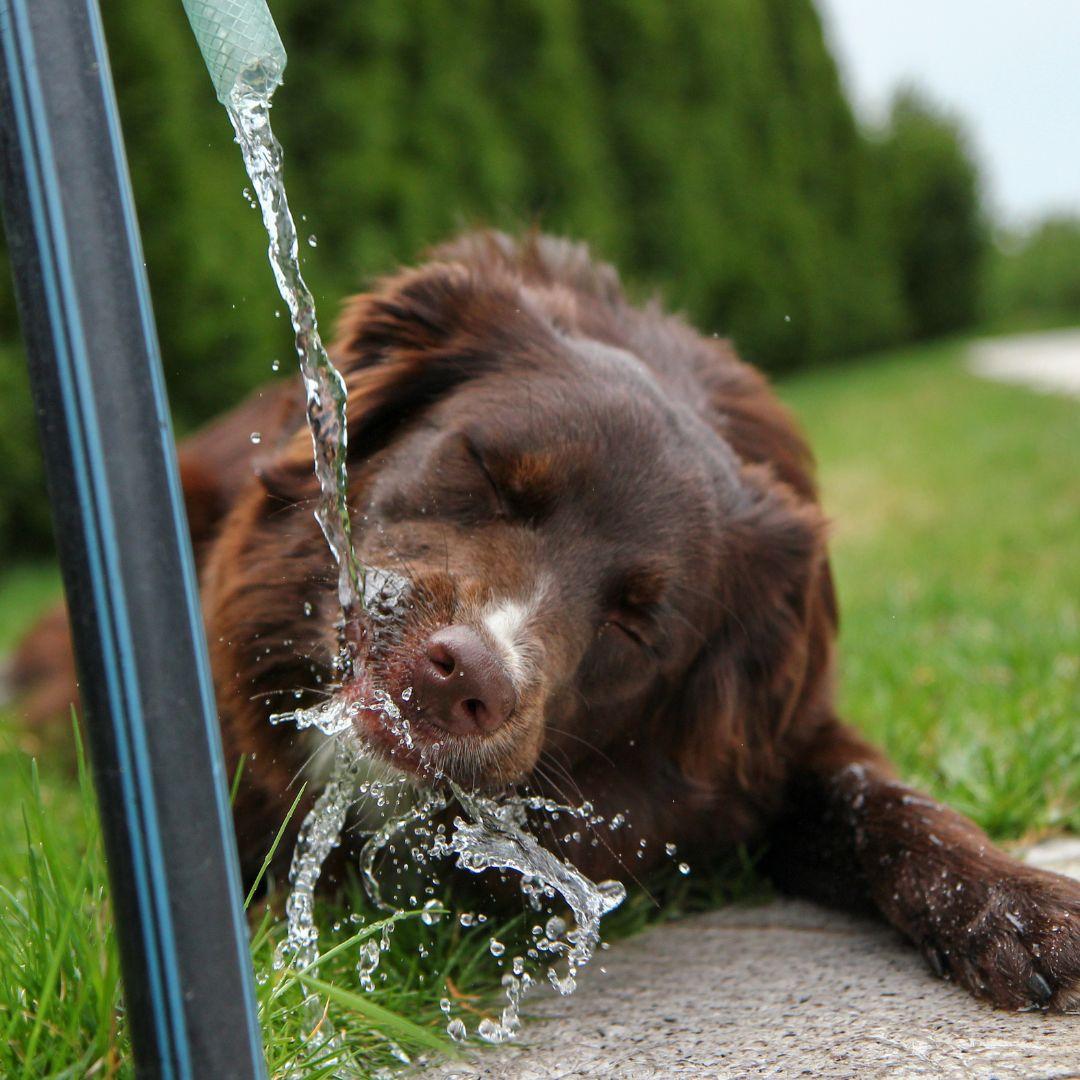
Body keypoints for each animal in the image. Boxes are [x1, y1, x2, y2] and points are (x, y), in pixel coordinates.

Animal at [14, 230, 1080, 1010]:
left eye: (640, 624)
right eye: (485, 471)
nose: (467, 679)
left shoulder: (777, 745)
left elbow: (885, 800)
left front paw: (1020, 907)